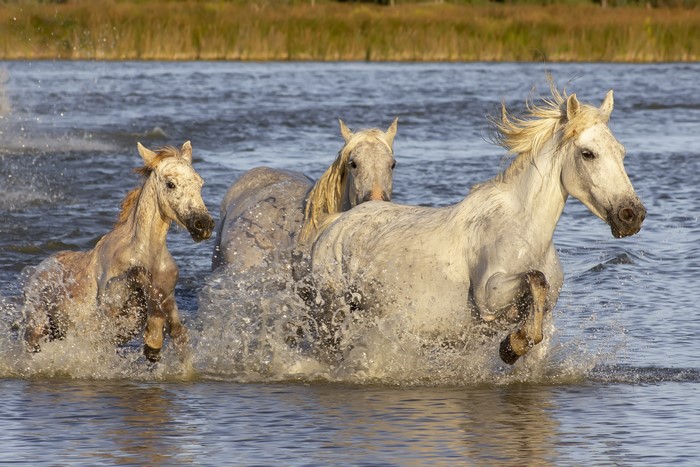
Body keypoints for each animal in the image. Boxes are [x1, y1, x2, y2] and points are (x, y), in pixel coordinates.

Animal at [21, 141, 215, 362]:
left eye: (200, 183)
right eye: (170, 184)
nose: (204, 225)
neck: (147, 254)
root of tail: (37, 269)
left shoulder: (168, 296)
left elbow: (178, 331)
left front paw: (155, 343)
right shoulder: (111, 303)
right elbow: (138, 276)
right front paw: (153, 339)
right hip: (36, 328)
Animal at [308, 81, 646, 365]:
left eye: (621, 152)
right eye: (588, 153)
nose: (632, 215)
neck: (527, 233)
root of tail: (335, 223)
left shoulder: (545, 316)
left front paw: (513, 344)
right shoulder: (489, 297)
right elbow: (535, 278)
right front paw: (512, 346)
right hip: (331, 318)